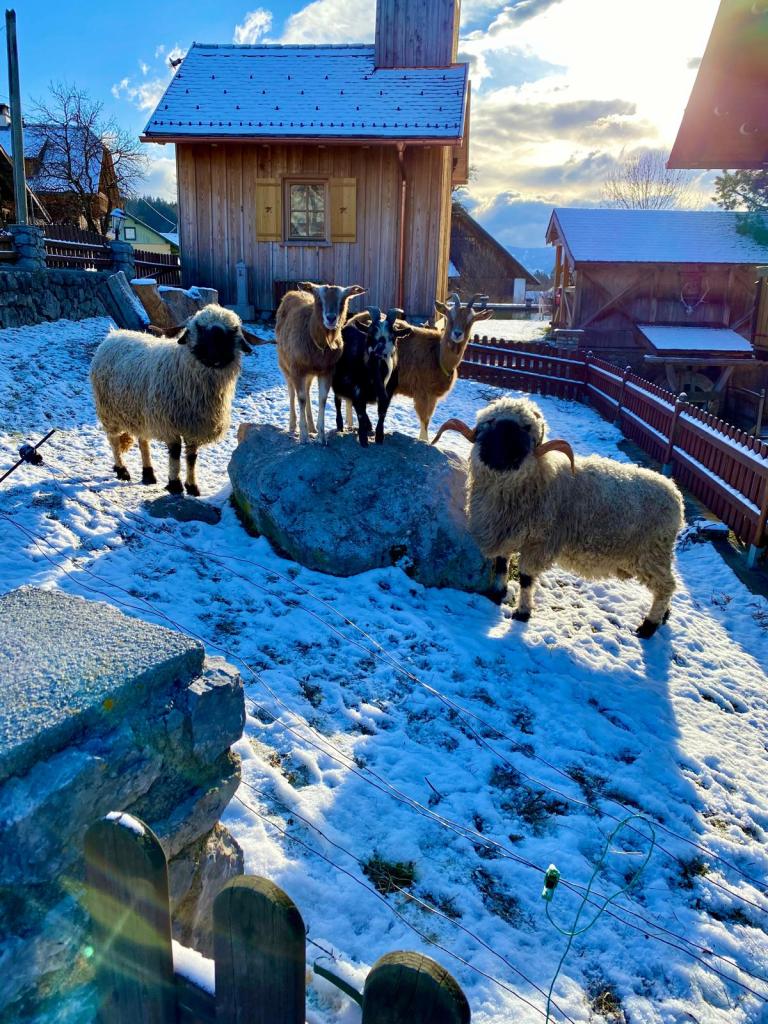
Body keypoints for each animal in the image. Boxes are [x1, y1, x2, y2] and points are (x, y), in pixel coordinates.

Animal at [90, 304, 252, 496]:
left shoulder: (194, 426)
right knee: (114, 440)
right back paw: (122, 470)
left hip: (139, 412)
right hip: (109, 410)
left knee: (143, 441)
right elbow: (175, 453)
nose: (216, 354)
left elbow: (191, 457)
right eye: (200, 328)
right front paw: (175, 484)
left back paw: (148, 474)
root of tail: (113, 334)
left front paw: (192, 487)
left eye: (233, 330)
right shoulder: (169, 423)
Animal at [276, 281, 366, 445]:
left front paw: (321, 436)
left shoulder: (327, 370)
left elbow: (322, 399)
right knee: (292, 393)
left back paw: (312, 427)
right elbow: (301, 398)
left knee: (307, 392)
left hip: (310, 373)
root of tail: (293, 292)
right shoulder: (297, 369)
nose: (331, 318)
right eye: (319, 298)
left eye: (342, 300)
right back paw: (293, 425)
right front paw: (303, 436)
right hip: (285, 365)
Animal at [332, 307, 412, 447]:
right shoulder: (357, 388)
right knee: (338, 402)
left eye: (393, 337)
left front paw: (379, 436)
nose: (378, 354)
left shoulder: (388, 392)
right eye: (369, 335)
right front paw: (363, 439)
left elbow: (382, 412)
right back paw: (340, 425)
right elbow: (360, 413)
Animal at [432, 396, 684, 638]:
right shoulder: (506, 532)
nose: (504, 452)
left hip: (651, 553)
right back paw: (664, 616)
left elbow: (526, 577)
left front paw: (522, 613)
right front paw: (497, 594)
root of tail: (675, 494)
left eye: (526, 428)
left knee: (666, 586)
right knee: (665, 585)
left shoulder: (538, 541)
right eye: (491, 422)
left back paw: (649, 626)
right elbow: (502, 565)